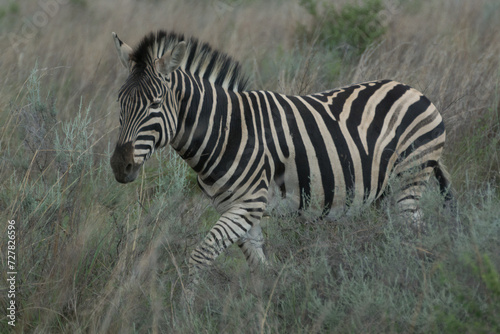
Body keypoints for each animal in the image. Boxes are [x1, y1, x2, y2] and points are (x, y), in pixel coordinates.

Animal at [110, 30, 454, 302]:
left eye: (155, 104)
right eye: (119, 102)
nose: (119, 166)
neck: (225, 131)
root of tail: (413, 89)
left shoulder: (248, 203)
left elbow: (200, 255)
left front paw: (184, 312)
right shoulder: (235, 208)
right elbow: (261, 268)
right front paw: (269, 305)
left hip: (408, 180)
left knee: (415, 235)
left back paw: (412, 283)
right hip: (387, 193)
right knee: (399, 236)